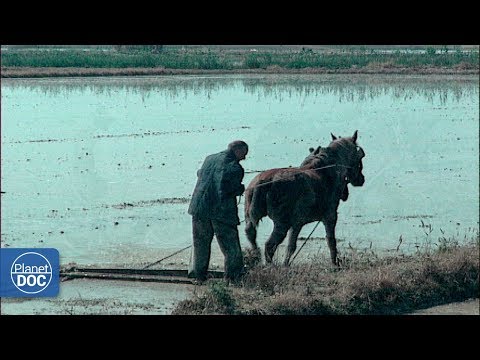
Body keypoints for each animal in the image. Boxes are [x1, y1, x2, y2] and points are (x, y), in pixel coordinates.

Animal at [246, 131, 366, 266]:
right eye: (359, 157)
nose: (361, 179)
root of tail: (261, 184)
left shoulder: (297, 223)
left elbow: (291, 247)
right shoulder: (330, 216)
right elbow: (331, 242)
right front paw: (335, 263)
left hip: (250, 218)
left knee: (251, 236)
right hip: (281, 223)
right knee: (269, 245)